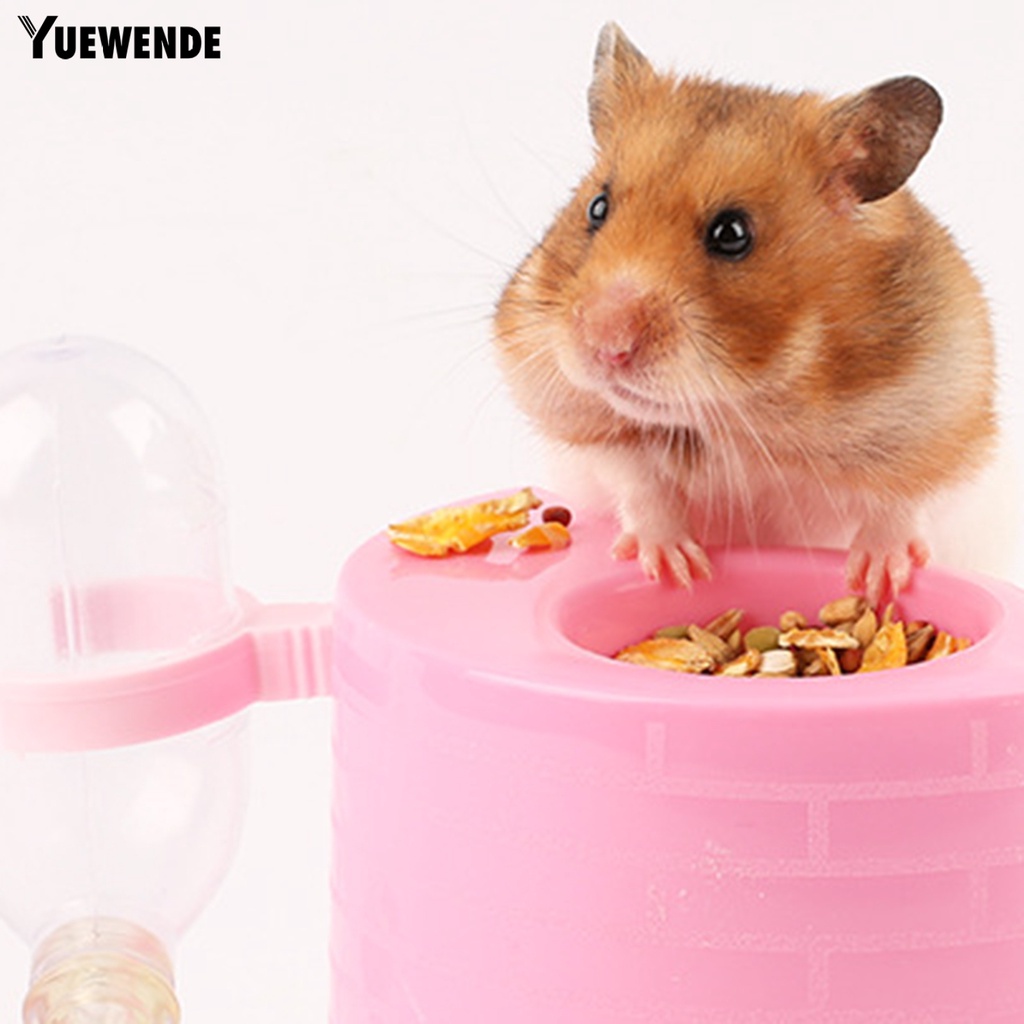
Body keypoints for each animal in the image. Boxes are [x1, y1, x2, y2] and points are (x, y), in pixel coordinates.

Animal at [493, 22, 999, 603]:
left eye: (732, 234)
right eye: (597, 208)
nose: (605, 345)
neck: (745, 407)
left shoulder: (945, 418)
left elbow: (903, 498)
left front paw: (877, 580)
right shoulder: (581, 421)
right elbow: (638, 479)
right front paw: (679, 569)